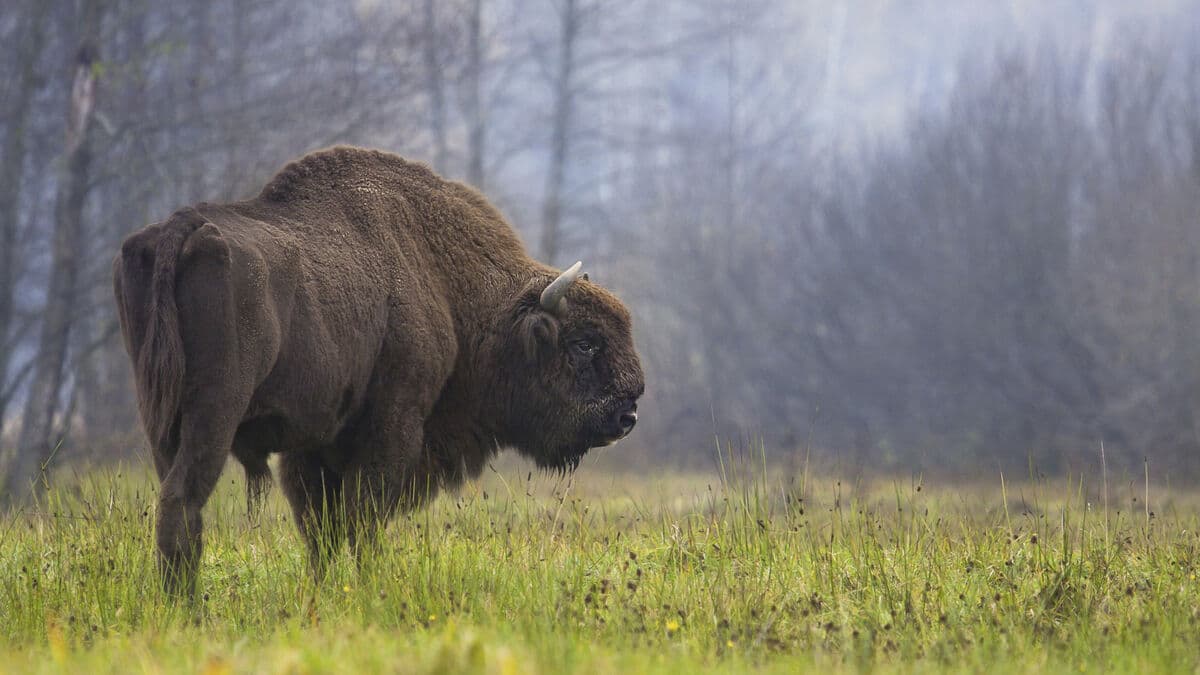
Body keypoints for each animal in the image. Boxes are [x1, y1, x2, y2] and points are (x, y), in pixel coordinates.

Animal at [113, 147, 644, 595]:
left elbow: (322, 529)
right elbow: (362, 520)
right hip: (215, 413)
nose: (628, 414)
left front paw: (325, 592)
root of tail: (181, 228)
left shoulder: (312, 446)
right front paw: (369, 588)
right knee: (183, 500)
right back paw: (188, 606)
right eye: (583, 343)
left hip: (159, 418)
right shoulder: (392, 425)